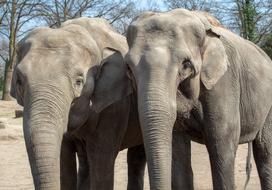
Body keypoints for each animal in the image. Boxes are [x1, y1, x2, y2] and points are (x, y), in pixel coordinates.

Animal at [125, 8, 272, 189]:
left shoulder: (224, 82)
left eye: (186, 65)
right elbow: (178, 150)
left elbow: (222, 141)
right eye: (129, 68)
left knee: (265, 151)